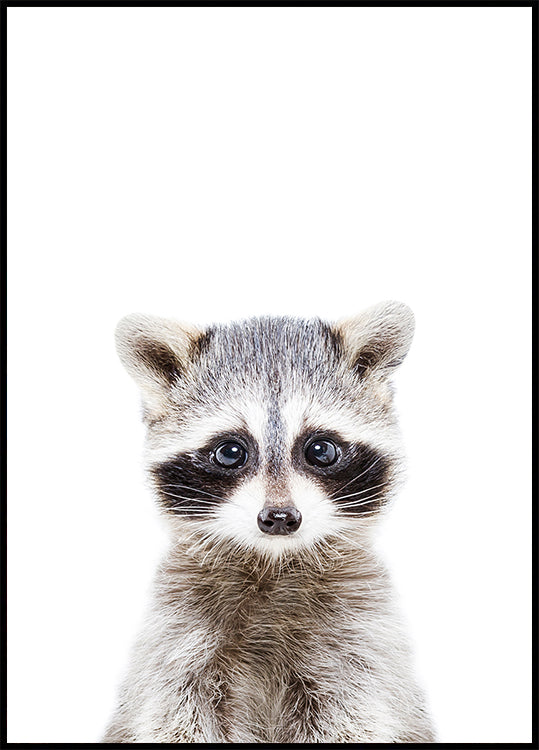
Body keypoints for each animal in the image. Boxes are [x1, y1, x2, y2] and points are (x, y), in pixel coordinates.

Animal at [102, 301, 435, 743]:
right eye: (230, 452)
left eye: (321, 449)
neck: (272, 561)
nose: (279, 518)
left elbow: (354, 715)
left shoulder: (360, 640)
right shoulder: (177, 637)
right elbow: (174, 714)